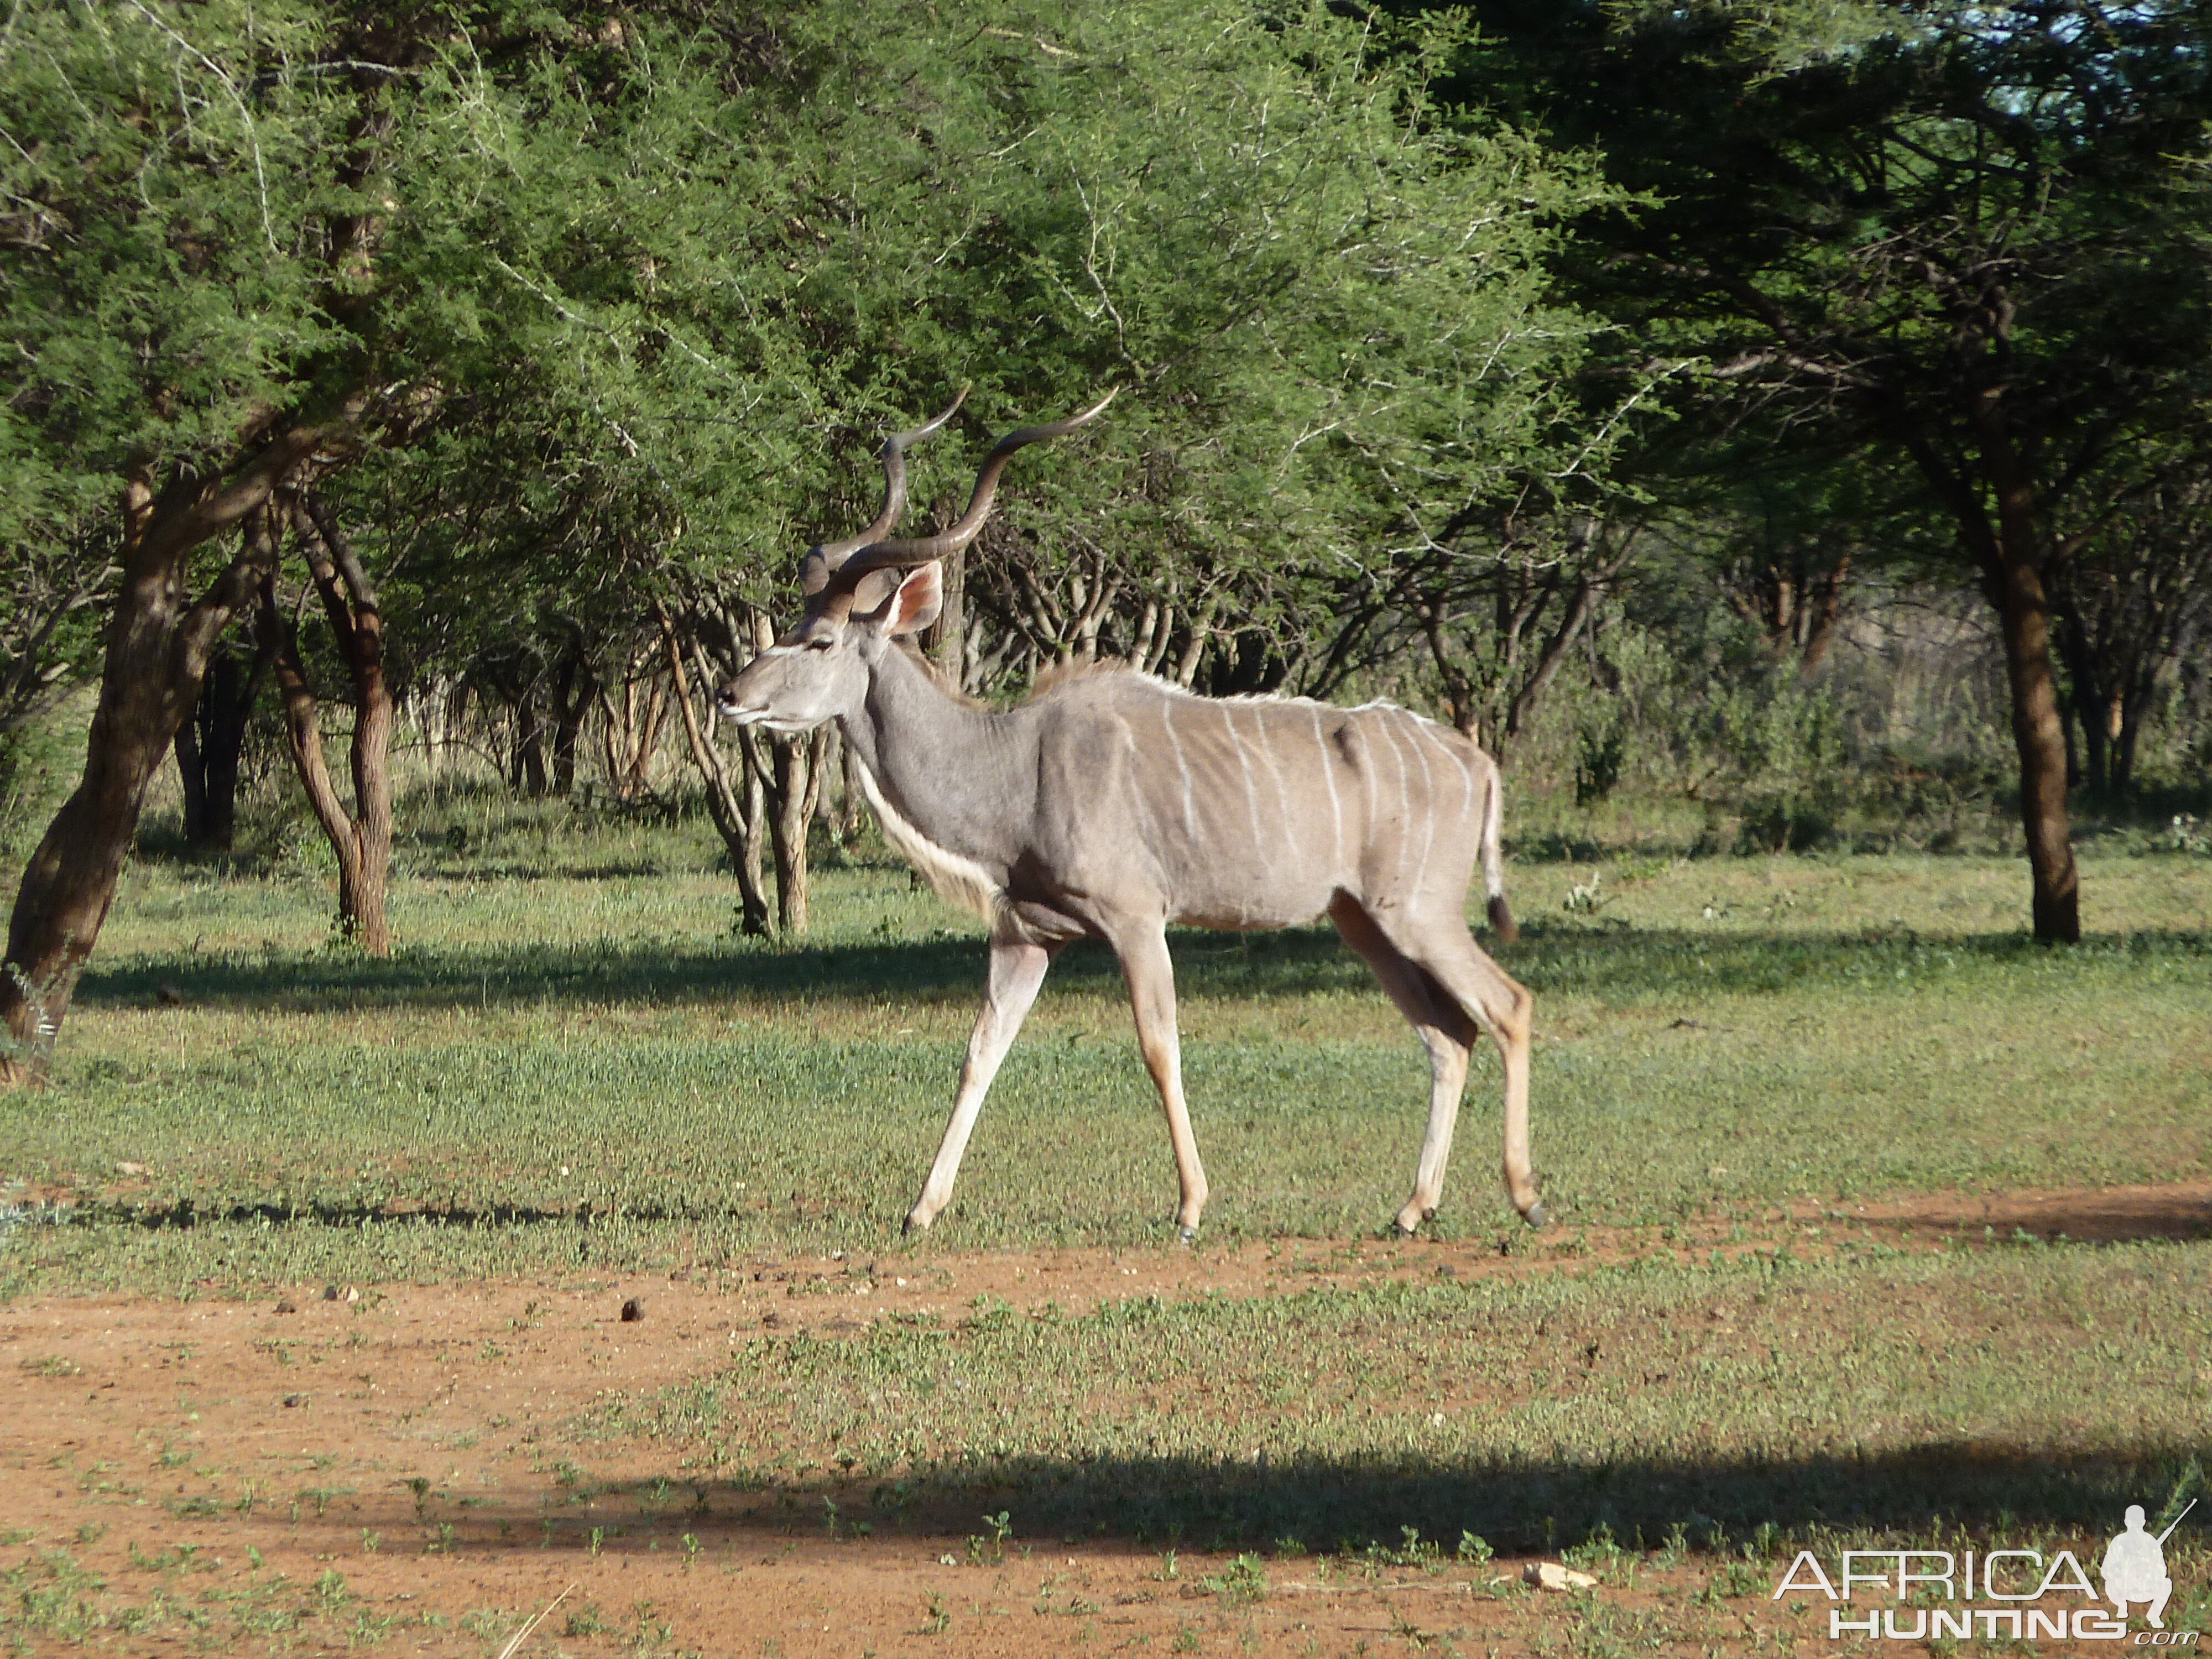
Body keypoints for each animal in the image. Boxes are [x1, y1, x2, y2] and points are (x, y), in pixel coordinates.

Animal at [726, 396, 1540, 1239]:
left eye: (820, 640)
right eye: (788, 626)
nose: (729, 693)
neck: (1014, 765)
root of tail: (1476, 762)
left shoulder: (1136, 919)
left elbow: (1158, 1046)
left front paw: (1190, 1207)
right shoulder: (1026, 935)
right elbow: (980, 1050)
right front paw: (921, 1209)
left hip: (1416, 913)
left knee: (1507, 1007)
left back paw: (1524, 1194)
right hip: (1363, 922)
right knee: (1449, 1035)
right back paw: (1413, 1207)